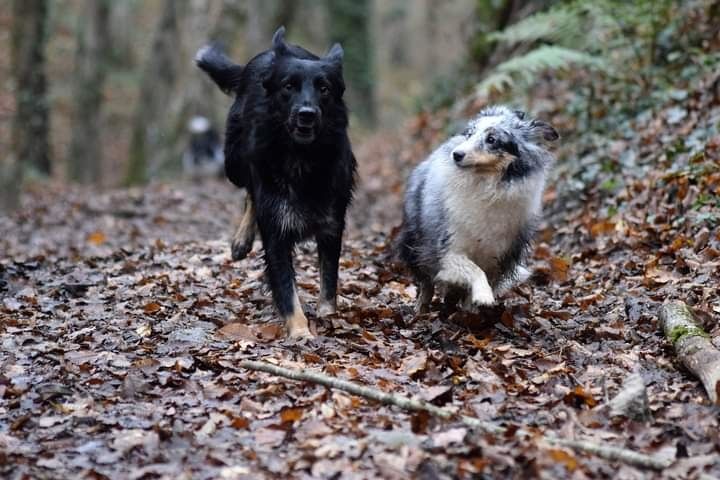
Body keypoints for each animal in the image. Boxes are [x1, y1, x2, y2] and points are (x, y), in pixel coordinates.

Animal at [195, 27, 356, 338]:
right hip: (233, 161)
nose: (307, 114)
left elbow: (329, 281)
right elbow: (286, 288)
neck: (302, 158)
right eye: (288, 86)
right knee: (249, 191)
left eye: (324, 88)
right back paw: (241, 241)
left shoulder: (332, 224)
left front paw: (328, 316)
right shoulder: (276, 233)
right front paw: (301, 332)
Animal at [400, 106, 556, 314]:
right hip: (418, 240)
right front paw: (483, 296)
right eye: (469, 134)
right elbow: (474, 270)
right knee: (426, 280)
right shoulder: (449, 248)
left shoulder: (500, 257)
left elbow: (482, 281)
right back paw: (420, 309)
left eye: (492, 139)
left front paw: (472, 311)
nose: (456, 154)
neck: (487, 188)